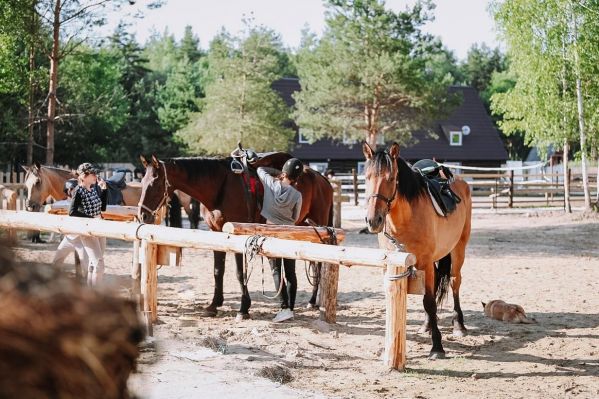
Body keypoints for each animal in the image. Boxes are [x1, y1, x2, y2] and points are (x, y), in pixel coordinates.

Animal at [138, 155, 336, 320]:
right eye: (142, 182)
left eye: (155, 184)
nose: (143, 215)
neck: (220, 188)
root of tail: (322, 178)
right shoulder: (216, 233)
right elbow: (218, 270)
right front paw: (214, 305)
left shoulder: (236, 236)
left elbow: (240, 273)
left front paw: (243, 308)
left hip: (319, 227)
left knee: (319, 263)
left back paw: (313, 300)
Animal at [360, 143, 474, 360]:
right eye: (367, 177)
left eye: (391, 178)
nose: (373, 220)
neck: (404, 220)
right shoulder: (393, 264)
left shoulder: (424, 262)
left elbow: (428, 301)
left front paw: (437, 347)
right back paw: (427, 325)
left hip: (458, 249)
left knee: (455, 281)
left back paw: (459, 325)